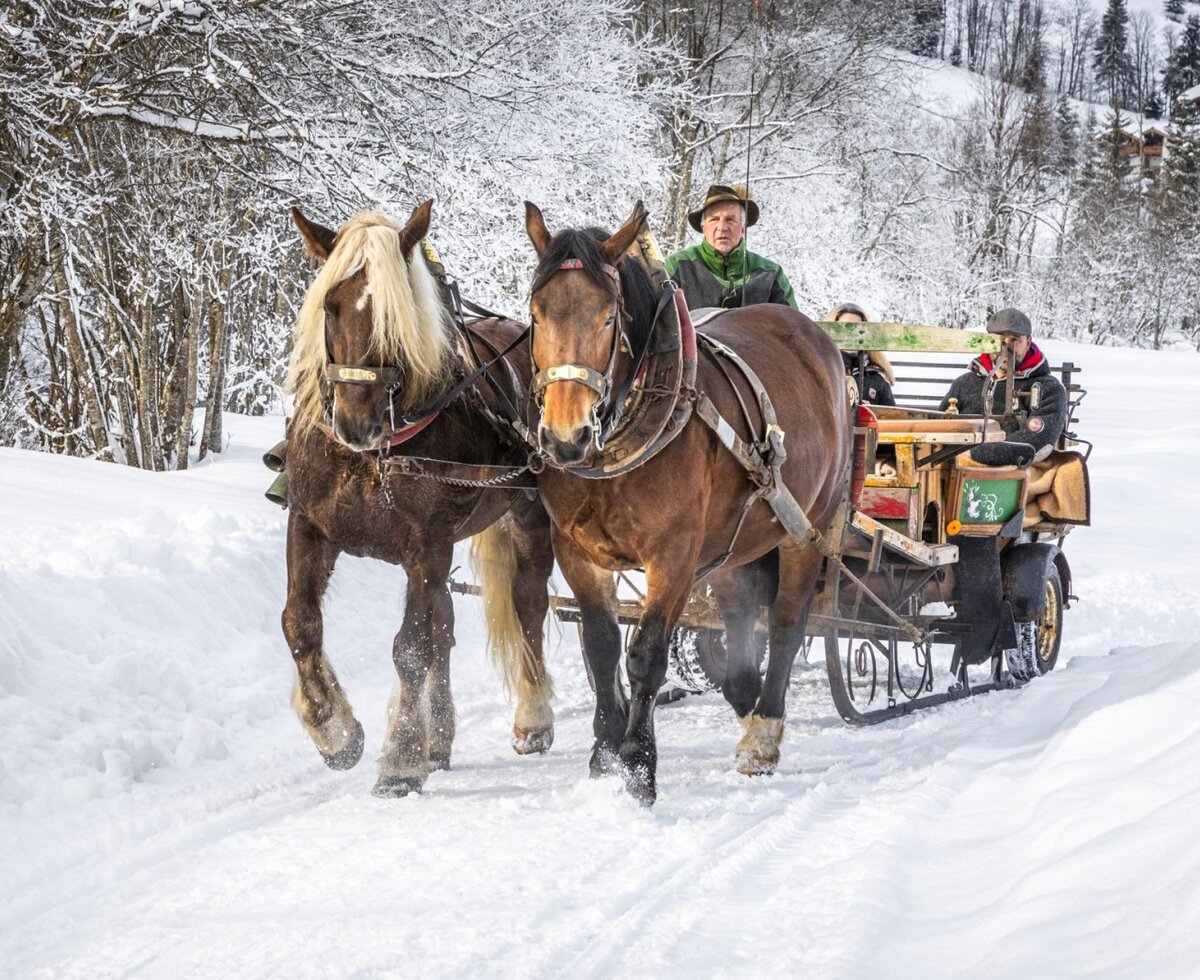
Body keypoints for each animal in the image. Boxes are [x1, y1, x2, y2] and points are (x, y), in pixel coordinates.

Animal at [283, 201, 555, 797]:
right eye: (330, 307)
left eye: (396, 315)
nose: (355, 424)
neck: (371, 459)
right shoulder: (308, 524)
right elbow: (301, 624)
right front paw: (334, 730)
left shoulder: (426, 545)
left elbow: (410, 646)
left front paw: (401, 758)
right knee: (445, 627)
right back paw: (440, 737)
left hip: (526, 515)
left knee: (527, 605)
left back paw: (534, 718)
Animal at [523, 200, 850, 804]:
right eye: (536, 314)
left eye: (609, 318)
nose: (565, 436)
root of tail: (820, 343)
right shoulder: (576, 550)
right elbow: (602, 647)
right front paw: (603, 755)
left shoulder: (673, 555)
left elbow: (646, 655)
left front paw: (637, 765)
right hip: (737, 540)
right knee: (740, 617)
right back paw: (745, 702)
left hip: (808, 526)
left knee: (787, 624)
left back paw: (763, 733)